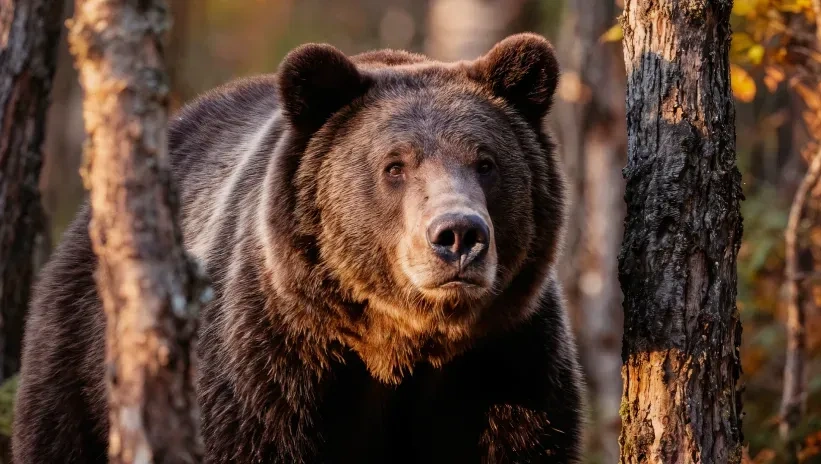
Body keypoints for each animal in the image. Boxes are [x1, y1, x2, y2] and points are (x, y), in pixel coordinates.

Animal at [12, 33, 583, 463]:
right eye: (395, 166)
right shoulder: (268, 367)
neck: (401, 344)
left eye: (486, 162)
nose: (459, 235)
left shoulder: (507, 362)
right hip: (78, 362)